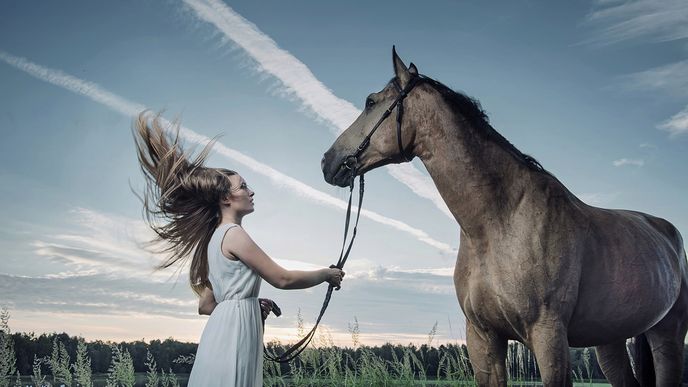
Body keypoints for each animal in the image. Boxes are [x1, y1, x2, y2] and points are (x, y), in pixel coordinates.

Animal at [322, 48, 688, 387]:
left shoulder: (548, 337)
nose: (328, 161)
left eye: (370, 101)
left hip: (667, 336)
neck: (497, 223)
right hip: (609, 340)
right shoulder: (483, 338)